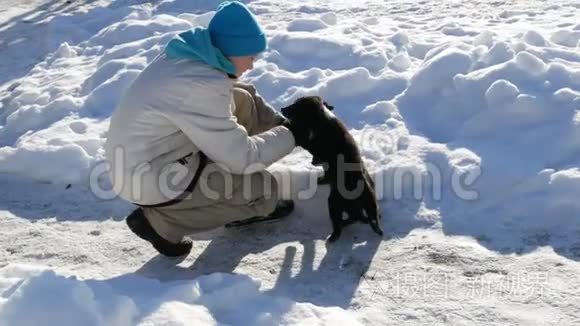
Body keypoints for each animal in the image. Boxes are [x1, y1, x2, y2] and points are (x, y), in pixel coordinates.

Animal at [282, 97, 386, 242]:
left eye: (295, 106)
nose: (281, 109)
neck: (323, 118)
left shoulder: (310, 142)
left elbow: (301, 137)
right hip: (368, 204)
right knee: (363, 218)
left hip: (334, 203)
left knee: (342, 223)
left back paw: (334, 235)